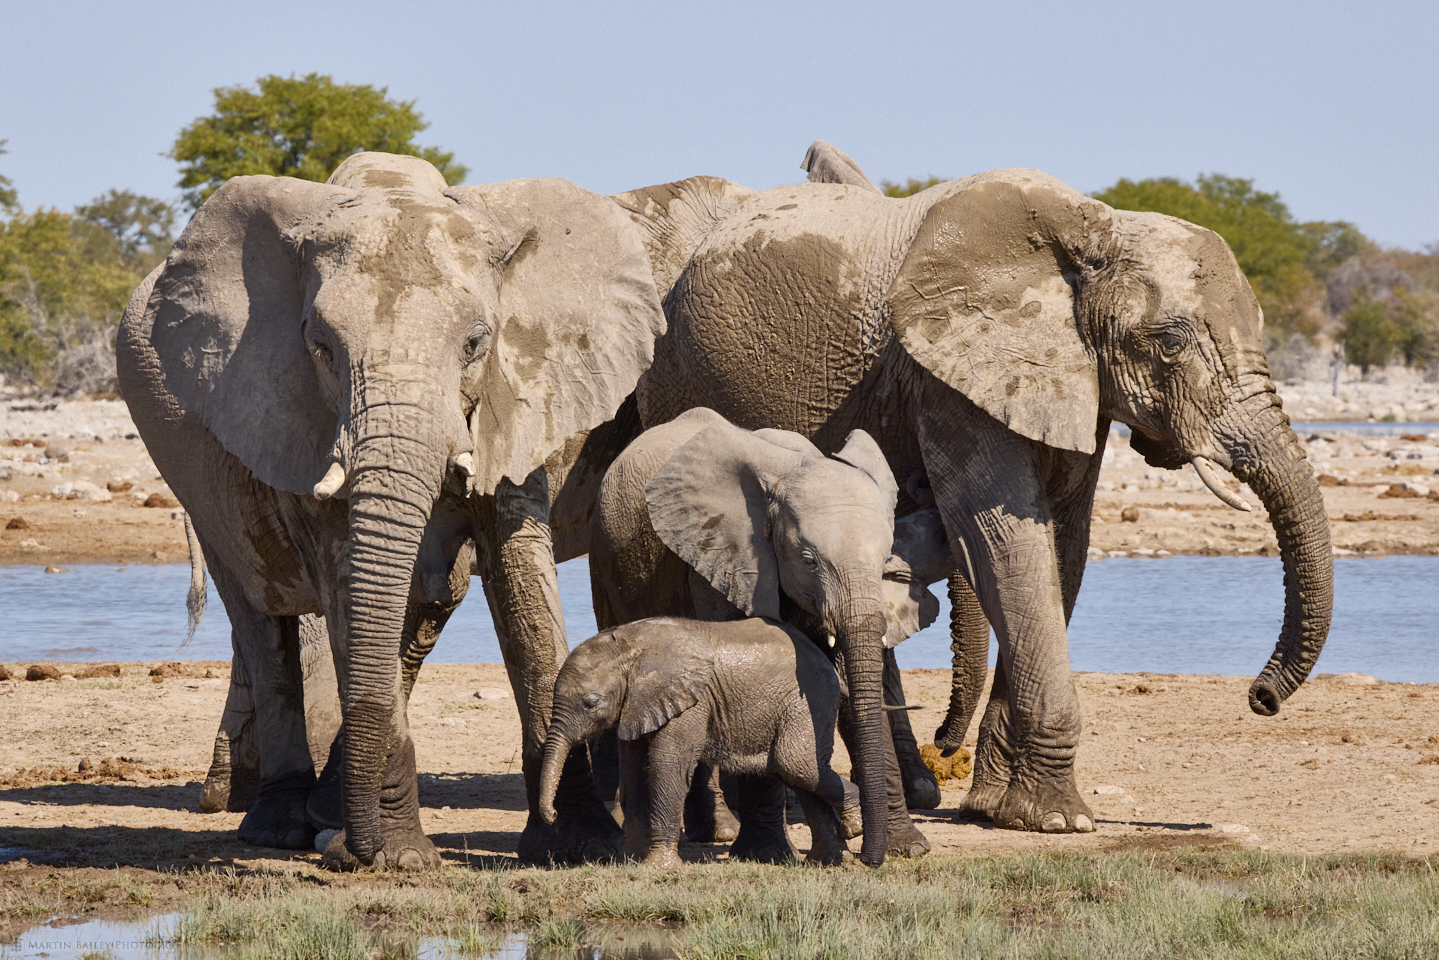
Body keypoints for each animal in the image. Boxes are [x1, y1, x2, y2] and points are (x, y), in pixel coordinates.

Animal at [120, 151, 664, 869]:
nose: (354, 852)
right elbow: (348, 584)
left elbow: (524, 589)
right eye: (320, 347)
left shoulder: (519, 400)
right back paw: (283, 826)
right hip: (192, 475)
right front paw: (401, 858)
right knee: (261, 618)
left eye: (475, 344)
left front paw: (578, 844)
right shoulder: (299, 418)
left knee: (424, 604)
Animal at [541, 616, 851, 869]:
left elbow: (666, 761)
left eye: (590, 703)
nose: (552, 813)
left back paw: (853, 823)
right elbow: (634, 767)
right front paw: (628, 861)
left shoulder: (691, 702)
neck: (629, 646)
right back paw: (826, 858)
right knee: (799, 773)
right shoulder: (638, 704)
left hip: (809, 702)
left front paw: (657, 868)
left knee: (795, 764)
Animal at [598, 144, 1335, 840]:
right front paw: (1056, 820)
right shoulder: (945, 379)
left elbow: (1061, 541)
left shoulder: (1069, 378)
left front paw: (998, 809)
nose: (1260, 697)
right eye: (1170, 343)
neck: (1091, 226)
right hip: (676, 377)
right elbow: (1005, 537)